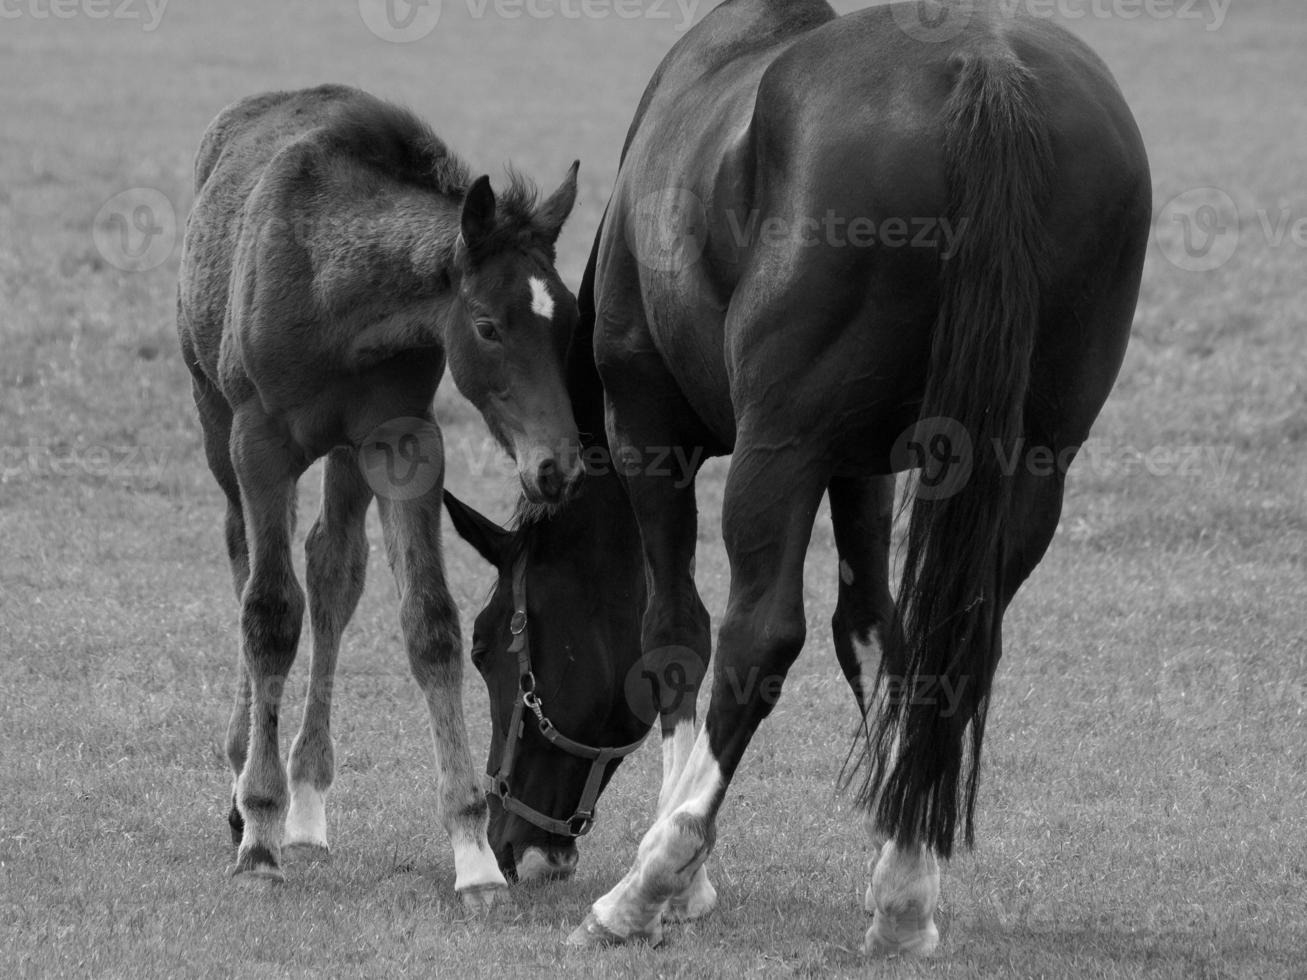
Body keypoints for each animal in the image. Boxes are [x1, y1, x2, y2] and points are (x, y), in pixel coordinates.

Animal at [176, 84, 585, 904]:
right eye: (487, 326)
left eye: (570, 322)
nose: (556, 466)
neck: (336, 293)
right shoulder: (257, 443)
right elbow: (269, 616)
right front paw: (258, 833)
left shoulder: (403, 443)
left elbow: (428, 625)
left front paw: (473, 854)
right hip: (216, 424)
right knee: (248, 565)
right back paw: (246, 787)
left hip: (345, 453)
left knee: (332, 570)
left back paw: (307, 806)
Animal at [439, 0, 1144, 956]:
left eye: (488, 645)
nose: (515, 843)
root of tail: (981, 67)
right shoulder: (862, 468)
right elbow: (873, 633)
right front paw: (896, 857)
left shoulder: (650, 438)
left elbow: (675, 636)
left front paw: (682, 876)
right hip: (1030, 463)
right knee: (961, 643)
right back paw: (904, 894)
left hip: (779, 449)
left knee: (759, 636)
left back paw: (641, 889)